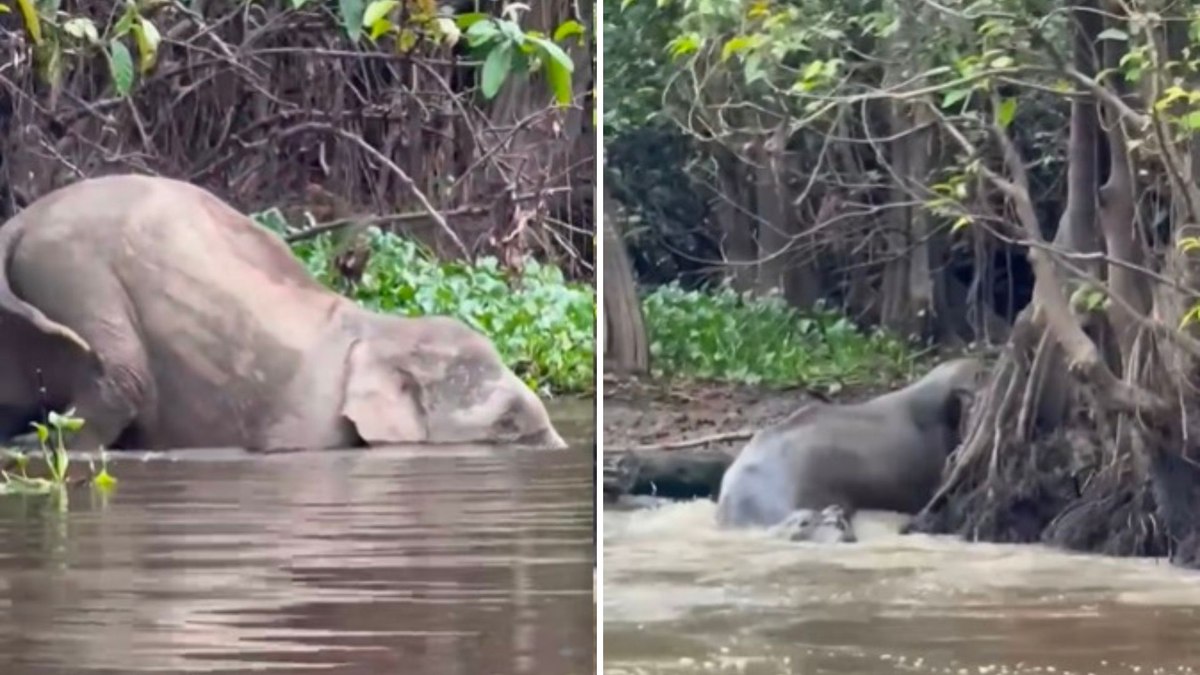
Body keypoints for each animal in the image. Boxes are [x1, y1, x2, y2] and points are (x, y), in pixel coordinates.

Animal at [0, 174, 568, 452]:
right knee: (123, 375)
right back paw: (33, 448)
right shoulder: (308, 421)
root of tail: (23, 220)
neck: (382, 330)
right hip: (76, 267)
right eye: (508, 425)